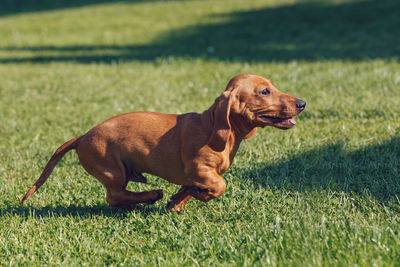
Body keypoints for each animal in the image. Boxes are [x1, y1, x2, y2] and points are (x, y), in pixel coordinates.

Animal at [21, 74, 306, 213]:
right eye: (264, 91)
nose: (302, 103)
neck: (214, 128)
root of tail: (82, 137)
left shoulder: (198, 175)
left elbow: (191, 189)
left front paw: (177, 201)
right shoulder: (199, 169)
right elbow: (219, 186)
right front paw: (195, 196)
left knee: (117, 198)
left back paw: (137, 203)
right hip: (112, 171)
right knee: (113, 196)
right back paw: (149, 196)